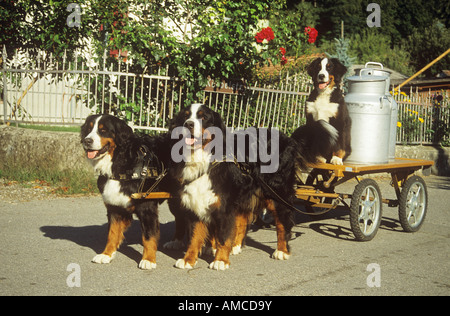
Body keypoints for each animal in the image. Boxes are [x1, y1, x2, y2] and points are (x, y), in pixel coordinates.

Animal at [80, 115, 171, 270]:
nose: (87, 140)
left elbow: (148, 236)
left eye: (103, 130)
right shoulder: (115, 207)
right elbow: (112, 234)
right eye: (88, 128)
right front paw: (106, 254)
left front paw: (148, 259)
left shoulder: (147, 208)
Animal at [167, 103, 308, 270]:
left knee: (282, 222)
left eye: (204, 117)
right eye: (185, 116)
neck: (204, 161)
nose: (188, 124)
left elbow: (223, 235)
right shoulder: (196, 201)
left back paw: (282, 251)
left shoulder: (224, 206)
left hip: (276, 193)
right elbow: (194, 236)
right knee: (242, 221)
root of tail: (288, 139)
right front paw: (188, 260)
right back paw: (235, 247)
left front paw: (220, 260)